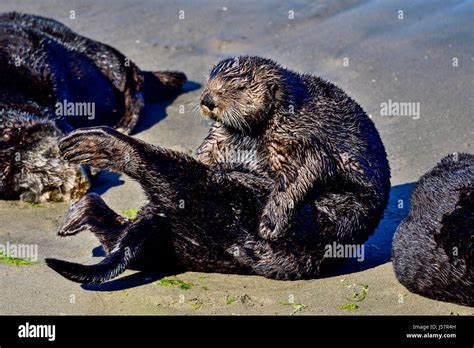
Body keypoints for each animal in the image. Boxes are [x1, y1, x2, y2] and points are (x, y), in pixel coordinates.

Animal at [0, 12, 187, 201]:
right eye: (17, 186)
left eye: (26, 168)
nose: (53, 188)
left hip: (106, 59)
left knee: (134, 83)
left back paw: (123, 124)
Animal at [46, 55, 390, 282]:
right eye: (211, 82)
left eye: (235, 88)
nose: (208, 99)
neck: (254, 134)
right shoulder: (220, 138)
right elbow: (207, 154)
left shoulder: (298, 137)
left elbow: (301, 172)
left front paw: (272, 221)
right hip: (187, 242)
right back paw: (85, 209)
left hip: (235, 207)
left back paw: (100, 146)